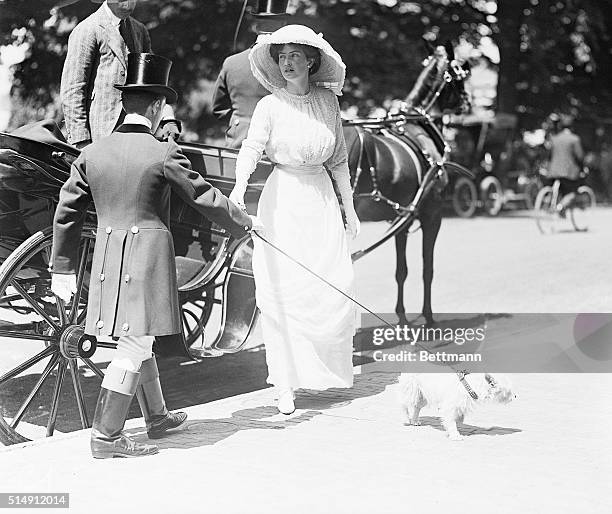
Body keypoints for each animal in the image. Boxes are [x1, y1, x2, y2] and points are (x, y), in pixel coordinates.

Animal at [344, 43, 468, 320]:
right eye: (460, 74)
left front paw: (401, 314)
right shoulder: (433, 215)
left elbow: (401, 270)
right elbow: (427, 268)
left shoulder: (402, 218)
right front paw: (428, 316)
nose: (467, 102)